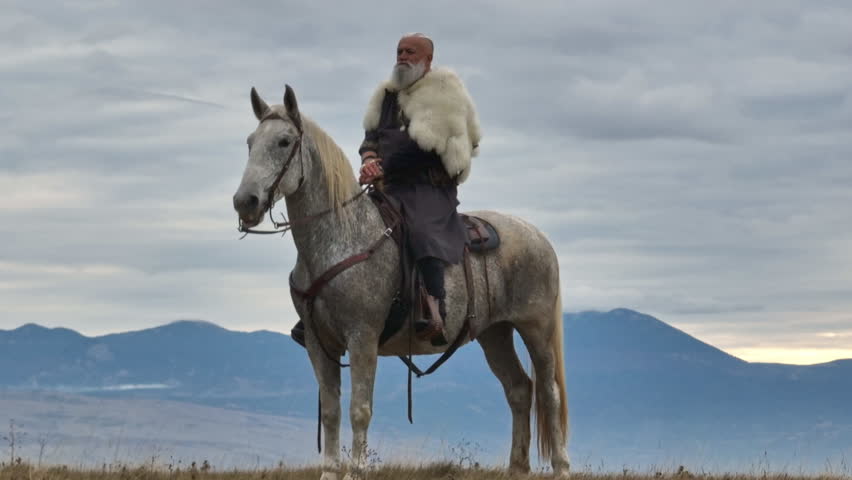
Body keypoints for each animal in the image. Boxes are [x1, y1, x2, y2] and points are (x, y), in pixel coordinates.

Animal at [232, 85, 570, 479]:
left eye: (284, 141)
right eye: (250, 142)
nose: (245, 201)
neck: (341, 236)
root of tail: (538, 235)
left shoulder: (362, 337)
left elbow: (359, 409)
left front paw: (356, 471)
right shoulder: (319, 343)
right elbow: (330, 409)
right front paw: (330, 471)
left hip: (536, 329)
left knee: (549, 393)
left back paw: (561, 467)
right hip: (494, 333)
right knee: (519, 389)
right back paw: (516, 468)